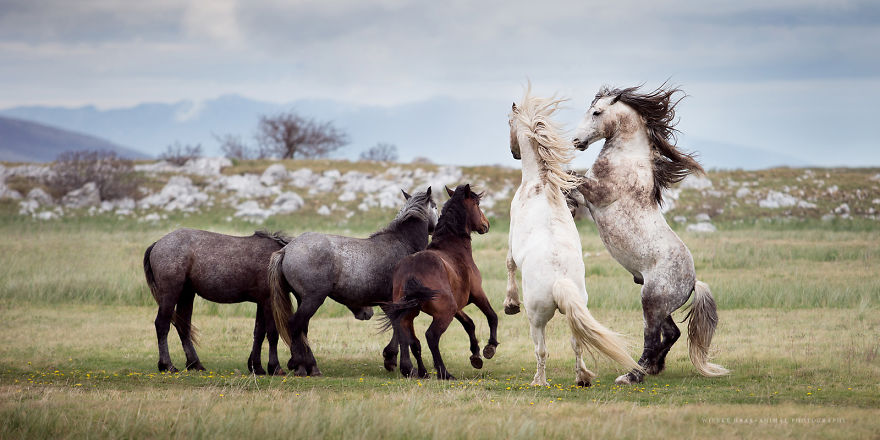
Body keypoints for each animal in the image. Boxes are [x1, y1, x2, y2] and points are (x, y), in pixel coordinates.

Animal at [144, 229, 294, 375]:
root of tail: (157, 244)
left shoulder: (261, 303)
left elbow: (259, 333)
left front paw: (256, 367)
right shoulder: (269, 302)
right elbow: (272, 334)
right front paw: (275, 367)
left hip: (186, 295)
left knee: (183, 327)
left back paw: (195, 364)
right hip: (170, 296)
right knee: (162, 325)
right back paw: (167, 365)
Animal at [270, 188, 439, 377]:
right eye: (435, 206)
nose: (437, 226)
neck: (402, 244)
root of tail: (286, 250)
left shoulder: (388, 302)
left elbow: (396, 327)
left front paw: (390, 359)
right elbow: (401, 331)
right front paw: (406, 367)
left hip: (303, 299)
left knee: (302, 328)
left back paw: (307, 366)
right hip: (313, 299)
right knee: (295, 325)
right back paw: (301, 364)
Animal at [380, 184, 497, 380]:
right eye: (477, 204)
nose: (486, 224)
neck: (452, 247)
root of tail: (411, 271)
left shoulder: (457, 306)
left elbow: (469, 324)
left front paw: (475, 355)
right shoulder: (477, 294)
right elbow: (491, 316)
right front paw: (490, 348)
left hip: (410, 314)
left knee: (411, 340)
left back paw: (417, 371)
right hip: (444, 313)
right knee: (431, 337)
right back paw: (443, 372)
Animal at [503, 86, 643, 387]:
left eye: (508, 122)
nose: (513, 153)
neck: (540, 184)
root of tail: (560, 281)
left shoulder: (511, 236)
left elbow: (509, 263)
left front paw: (510, 304)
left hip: (536, 318)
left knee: (541, 348)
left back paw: (539, 381)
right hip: (575, 309)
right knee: (576, 343)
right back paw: (582, 378)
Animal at [571, 83, 729, 384]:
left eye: (596, 112)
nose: (575, 141)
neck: (627, 160)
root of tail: (692, 282)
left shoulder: (597, 193)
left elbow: (572, 178)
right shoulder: (588, 198)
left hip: (651, 302)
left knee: (653, 338)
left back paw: (633, 374)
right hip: (660, 306)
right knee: (672, 333)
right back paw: (653, 367)